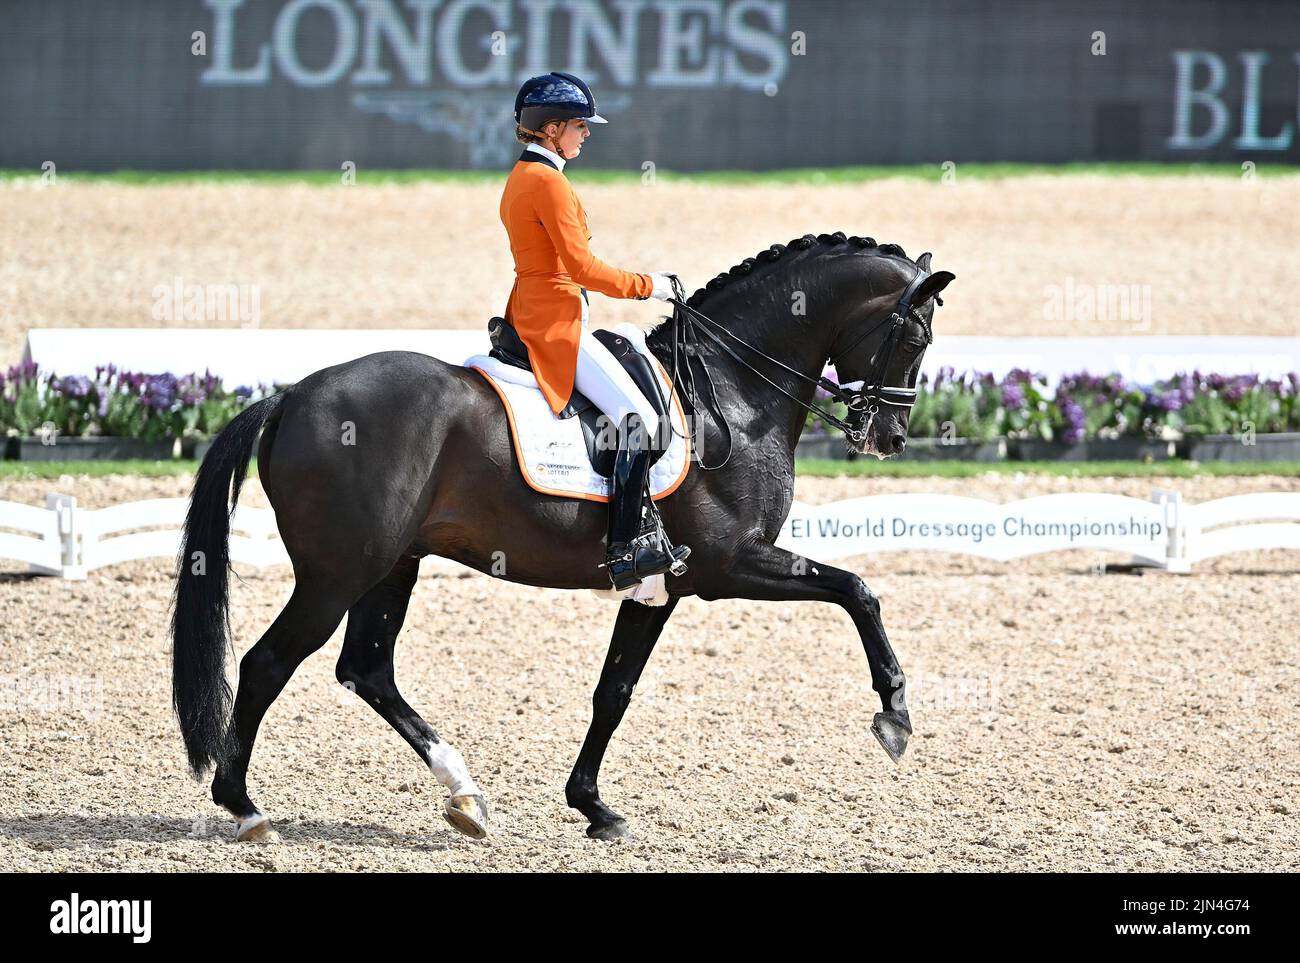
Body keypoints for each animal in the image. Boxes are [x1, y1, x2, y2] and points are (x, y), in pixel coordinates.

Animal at [170, 228, 956, 836]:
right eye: (916, 335)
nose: (888, 436)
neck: (730, 392)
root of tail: (290, 397)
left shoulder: (661, 586)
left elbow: (614, 691)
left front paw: (593, 807)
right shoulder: (727, 565)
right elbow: (856, 589)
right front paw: (895, 715)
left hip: (392, 564)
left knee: (367, 669)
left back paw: (465, 796)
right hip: (338, 573)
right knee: (269, 662)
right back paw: (244, 807)